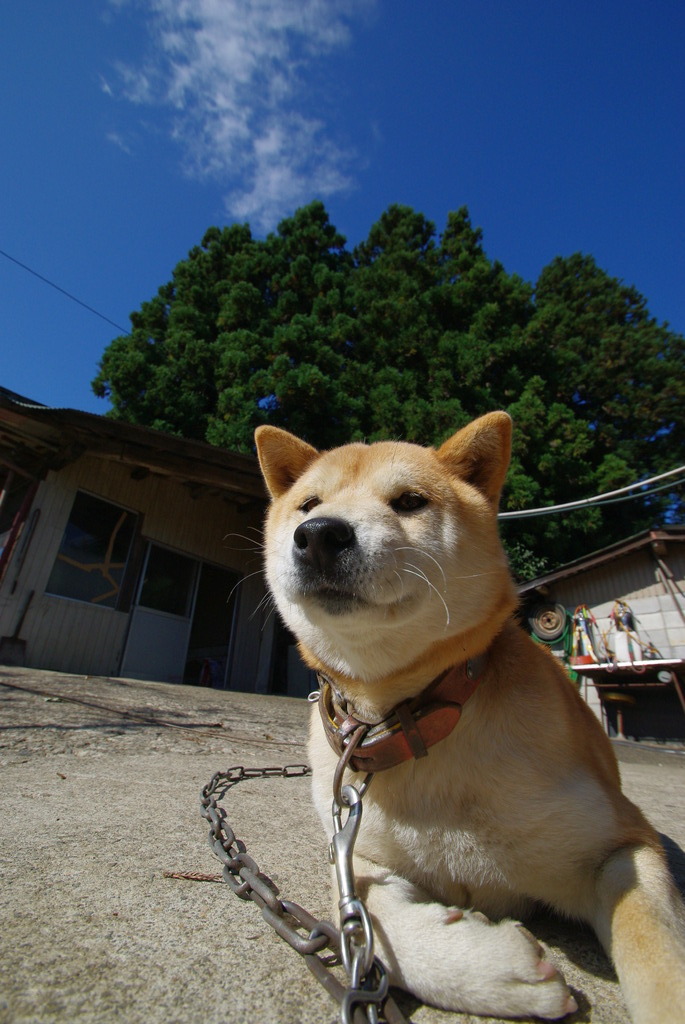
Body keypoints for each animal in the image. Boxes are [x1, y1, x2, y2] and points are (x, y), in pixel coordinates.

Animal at [254, 411, 683, 1019]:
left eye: (409, 501)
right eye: (309, 504)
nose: (317, 534)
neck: (406, 715)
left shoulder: (621, 843)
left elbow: (657, 955)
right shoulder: (355, 855)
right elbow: (363, 918)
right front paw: (493, 970)